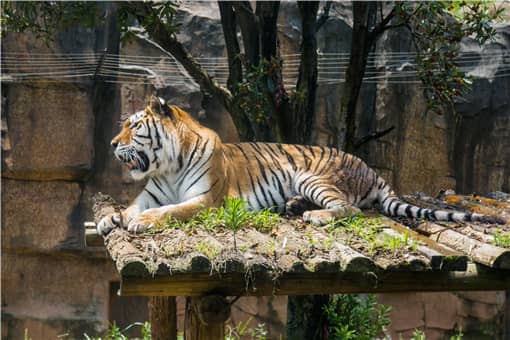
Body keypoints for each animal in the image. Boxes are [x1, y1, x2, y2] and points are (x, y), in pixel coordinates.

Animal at [96, 94, 506, 235]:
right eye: (123, 126)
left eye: (133, 126)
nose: (112, 143)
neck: (168, 165)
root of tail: (371, 170)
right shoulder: (150, 194)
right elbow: (130, 206)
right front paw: (109, 219)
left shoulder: (208, 201)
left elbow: (173, 211)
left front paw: (142, 222)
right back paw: (293, 206)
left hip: (313, 175)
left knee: (350, 209)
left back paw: (314, 214)